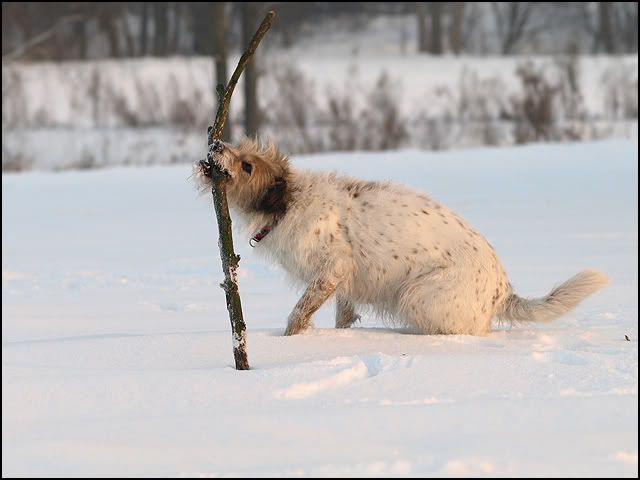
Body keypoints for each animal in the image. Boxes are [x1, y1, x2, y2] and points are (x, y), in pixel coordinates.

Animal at [194, 138, 608, 336]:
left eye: (248, 165)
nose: (215, 144)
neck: (290, 202)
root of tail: (501, 290)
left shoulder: (332, 269)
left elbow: (298, 314)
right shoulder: (343, 284)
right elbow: (343, 316)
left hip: (417, 295)